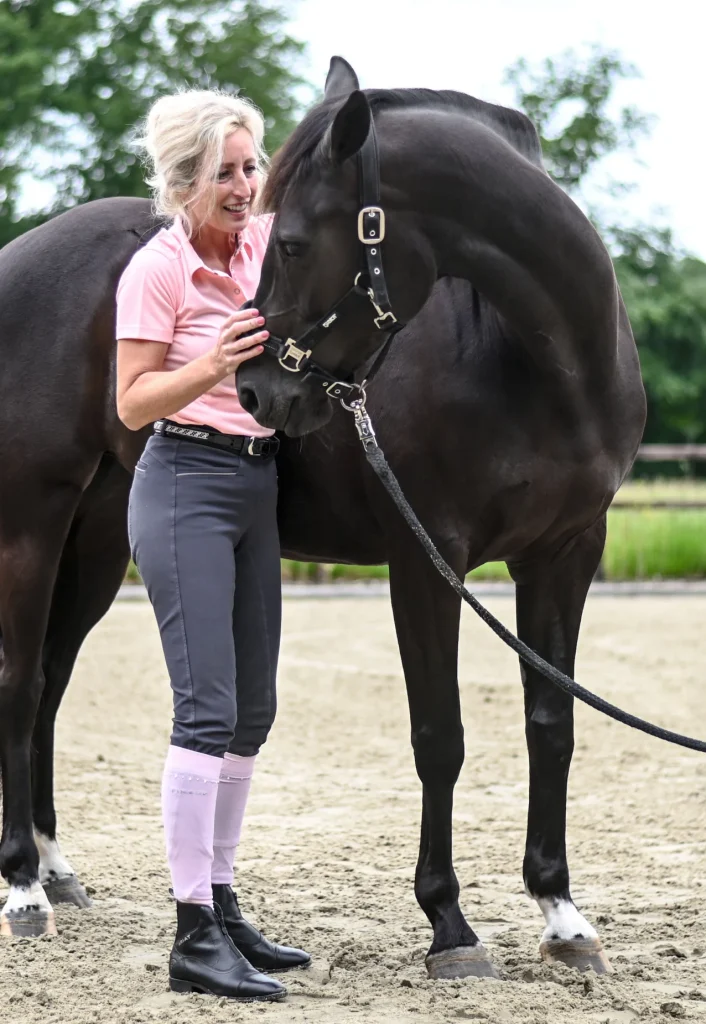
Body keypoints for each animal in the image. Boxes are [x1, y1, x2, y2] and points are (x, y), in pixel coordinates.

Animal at [0, 57, 645, 981]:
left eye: (294, 243)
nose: (256, 390)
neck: (538, 361)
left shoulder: (568, 554)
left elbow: (551, 725)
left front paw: (562, 915)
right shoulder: (425, 558)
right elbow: (439, 736)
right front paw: (450, 927)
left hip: (95, 541)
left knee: (51, 680)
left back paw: (56, 871)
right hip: (33, 520)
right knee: (19, 685)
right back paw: (22, 888)